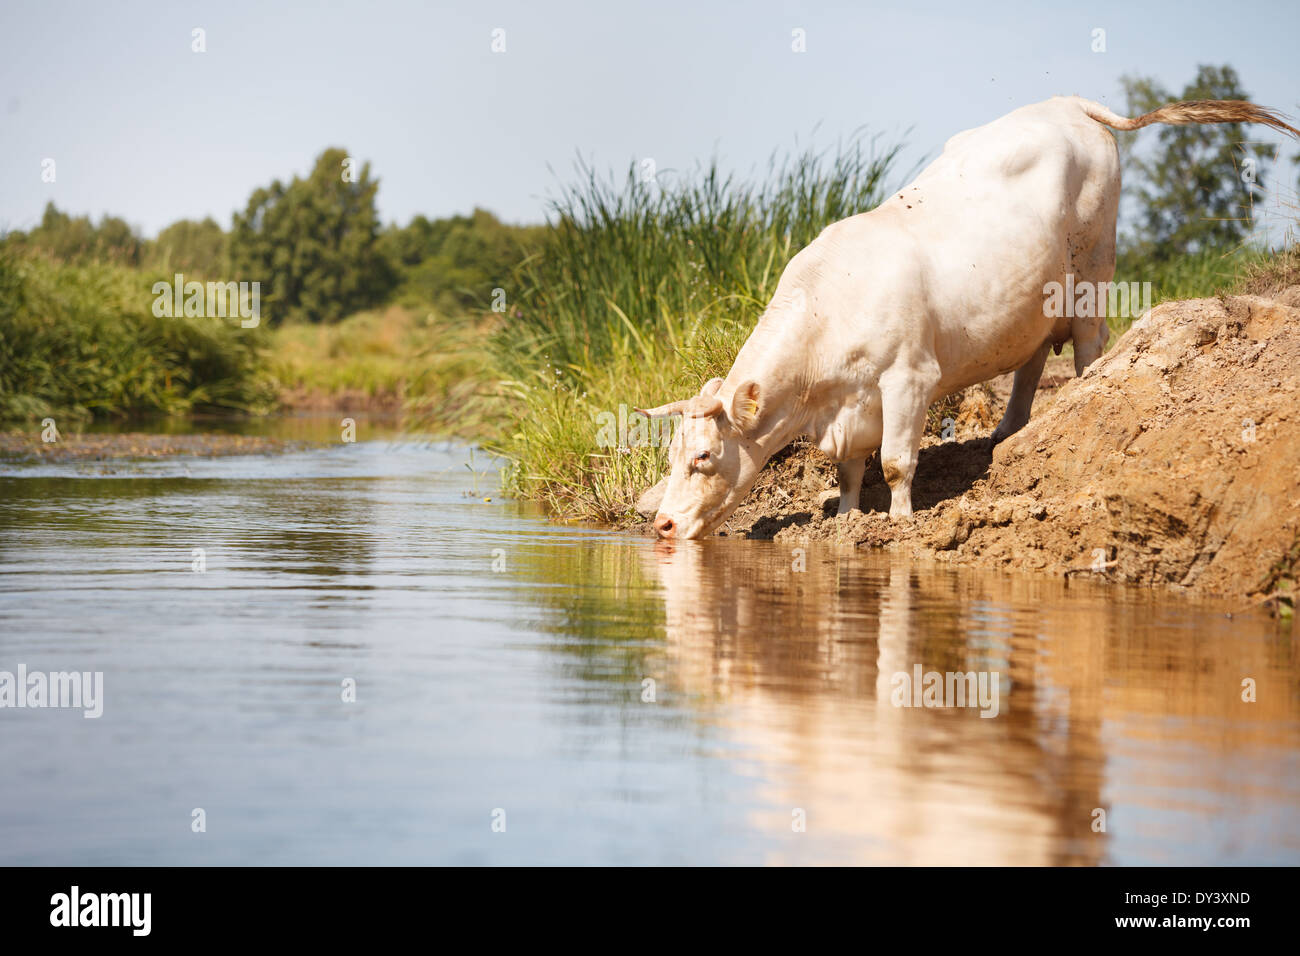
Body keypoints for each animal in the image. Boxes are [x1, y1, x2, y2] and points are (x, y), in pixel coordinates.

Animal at [642, 100, 1300, 541]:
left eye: (704, 457)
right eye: (670, 457)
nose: (664, 525)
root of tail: (1067, 102)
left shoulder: (909, 379)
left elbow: (896, 462)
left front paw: (898, 521)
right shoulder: (850, 407)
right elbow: (850, 470)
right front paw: (848, 519)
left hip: (1093, 271)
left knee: (1090, 343)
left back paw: (1079, 395)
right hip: (1034, 299)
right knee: (1032, 357)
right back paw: (1009, 430)